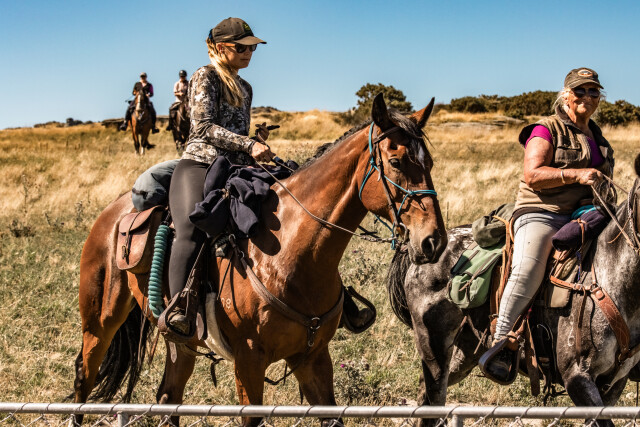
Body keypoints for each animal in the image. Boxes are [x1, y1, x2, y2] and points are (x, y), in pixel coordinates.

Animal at [71, 94, 448, 426]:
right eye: (396, 162)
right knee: (83, 375)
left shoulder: (314, 359)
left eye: (429, 163)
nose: (434, 241)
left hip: (182, 344)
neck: (290, 255)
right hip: (100, 322)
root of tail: (113, 210)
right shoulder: (248, 362)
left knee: (168, 397)